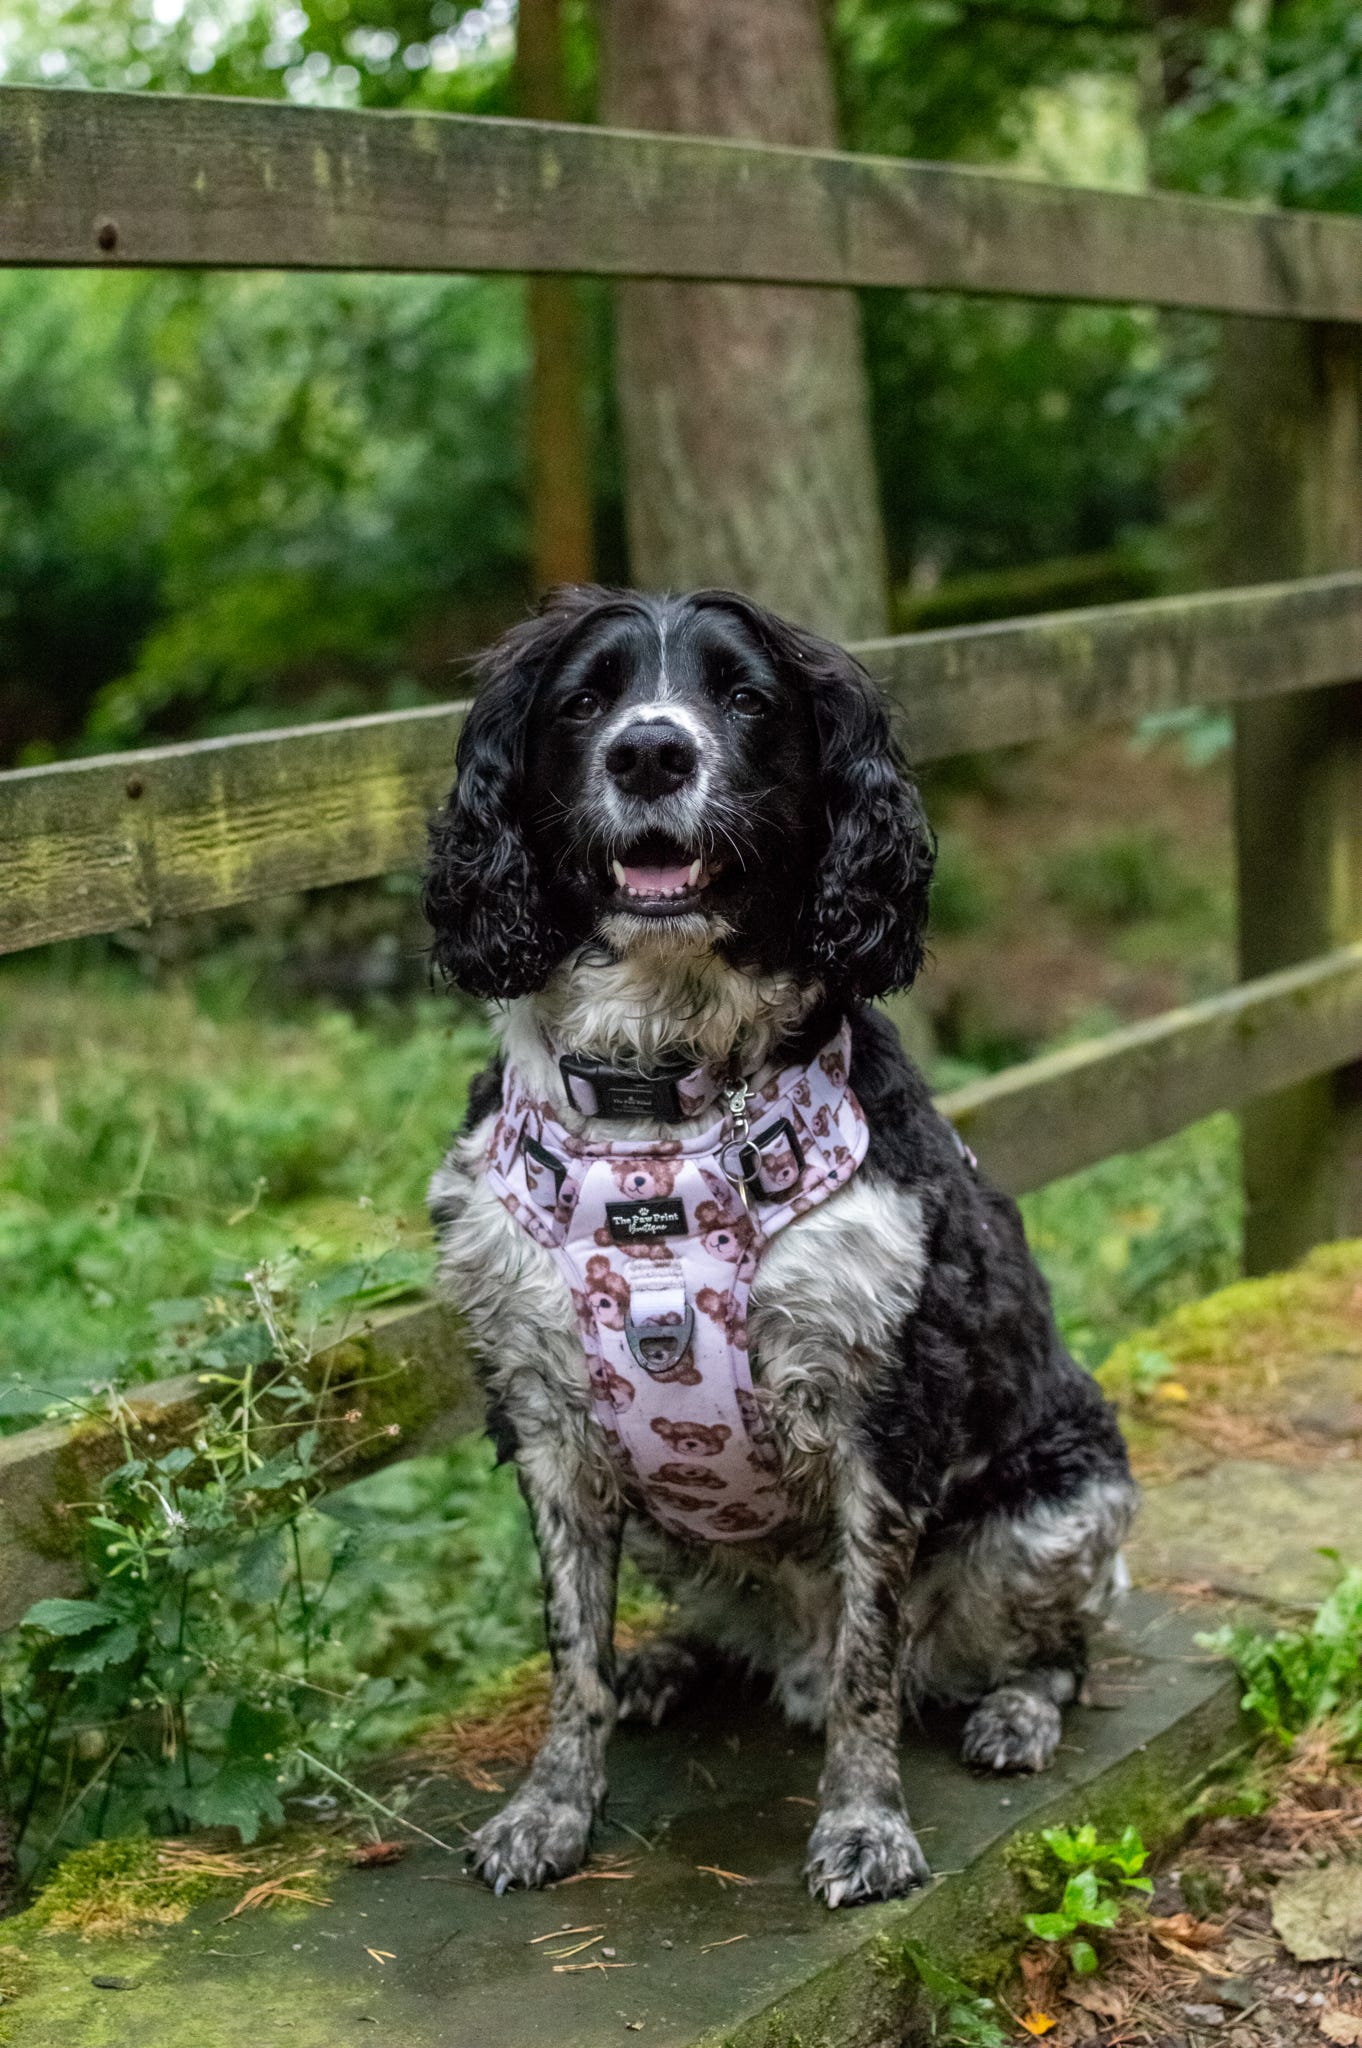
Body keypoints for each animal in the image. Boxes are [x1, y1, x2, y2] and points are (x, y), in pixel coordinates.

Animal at [426, 585, 1138, 1908]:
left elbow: (868, 1665)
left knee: (1053, 1645)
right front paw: (551, 1808)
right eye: (585, 698)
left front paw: (863, 1826)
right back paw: (666, 1664)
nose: (652, 751)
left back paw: (1016, 1710)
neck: (659, 1108)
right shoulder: (545, 1419)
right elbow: (570, 1651)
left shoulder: (881, 1414)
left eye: (747, 696)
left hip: (1061, 1511)